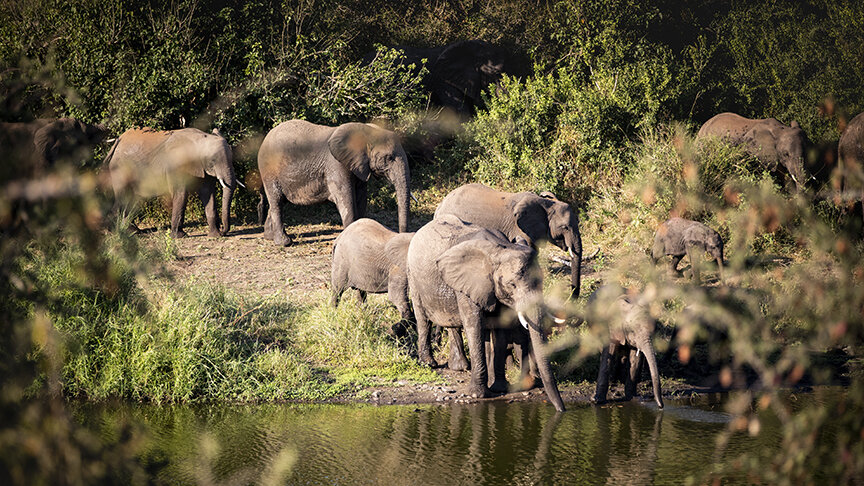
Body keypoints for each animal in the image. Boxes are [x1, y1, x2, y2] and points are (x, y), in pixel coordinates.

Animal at [106, 126, 238, 238]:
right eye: (213, 160)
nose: (223, 230)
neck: (200, 138)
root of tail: (118, 140)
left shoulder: (203, 168)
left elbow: (208, 193)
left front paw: (215, 236)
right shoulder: (177, 165)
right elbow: (181, 194)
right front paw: (179, 236)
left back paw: (132, 232)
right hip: (120, 169)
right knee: (123, 197)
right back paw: (116, 231)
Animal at [256, 119, 412, 245]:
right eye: (389, 158)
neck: (366, 131)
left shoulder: (359, 167)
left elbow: (361, 198)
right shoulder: (336, 165)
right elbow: (346, 199)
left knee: (279, 201)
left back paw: (269, 237)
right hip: (269, 171)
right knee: (276, 200)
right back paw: (284, 243)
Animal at [410, 215, 572, 412]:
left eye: (541, 281)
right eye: (512, 285)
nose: (562, 410)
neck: (499, 250)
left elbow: (500, 330)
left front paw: (499, 388)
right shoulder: (468, 284)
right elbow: (473, 326)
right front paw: (477, 395)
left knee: (453, 325)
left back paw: (459, 367)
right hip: (414, 278)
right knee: (423, 320)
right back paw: (429, 363)